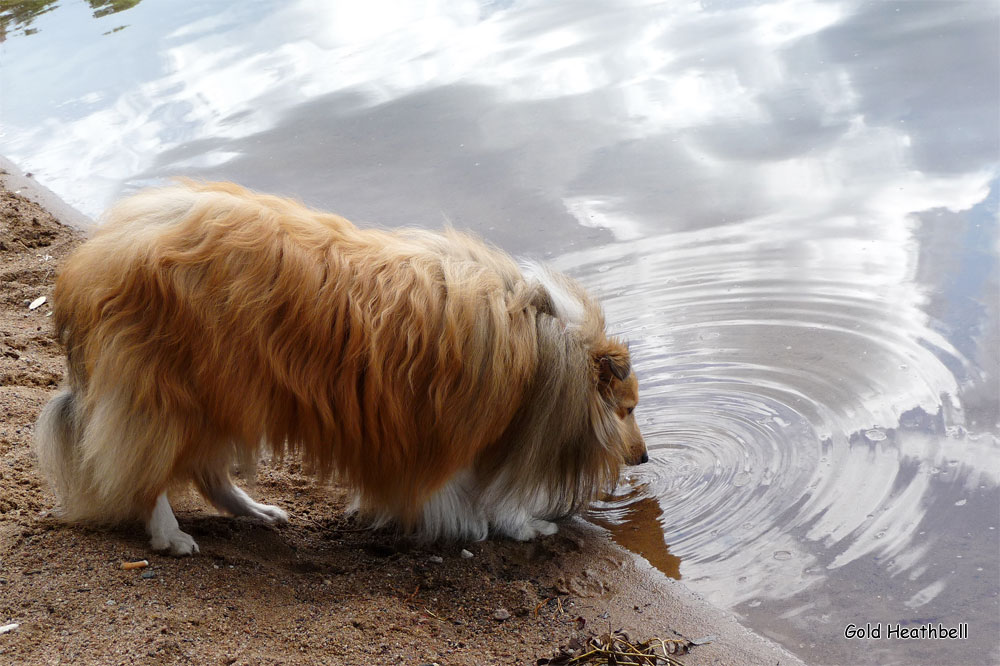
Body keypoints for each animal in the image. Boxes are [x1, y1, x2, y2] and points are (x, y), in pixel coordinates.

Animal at [33, 179, 648, 552]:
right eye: (628, 410)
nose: (644, 458)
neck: (542, 341)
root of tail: (97, 255)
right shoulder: (456, 435)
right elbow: (478, 492)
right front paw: (519, 525)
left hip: (226, 394)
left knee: (207, 472)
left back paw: (258, 512)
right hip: (169, 391)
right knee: (146, 471)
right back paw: (170, 536)